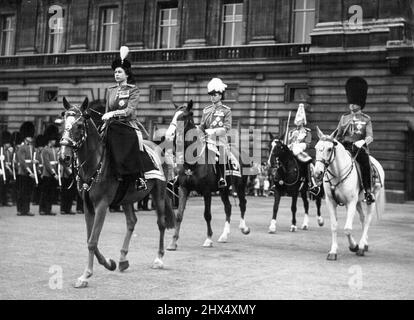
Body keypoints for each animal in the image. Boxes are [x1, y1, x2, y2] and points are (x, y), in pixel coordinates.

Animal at [59, 97, 175, 288]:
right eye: (63, 125)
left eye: (79, 126)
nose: (64, 157)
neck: (96, 162)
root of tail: (156, 146)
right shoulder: (87, 206)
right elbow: (90, 239)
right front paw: (108, 263)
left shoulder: (102, 205)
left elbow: (92, 241)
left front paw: (86, 275)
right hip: (127, 198)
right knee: (131, 222)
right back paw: (122, 259)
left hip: (158, 192)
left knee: (161, 223)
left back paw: (158, 259)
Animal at [164, 100, 249, 250]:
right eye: (173, 116)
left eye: (183, 117)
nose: (169, 135)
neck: (193, 162)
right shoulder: (184, 189)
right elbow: (179, 215)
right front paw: (173, 242)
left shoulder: (206, 191)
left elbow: (207, 215)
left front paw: (208, 239)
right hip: (224, 189)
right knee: (228, 207)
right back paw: (224, 235)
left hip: (240, 185)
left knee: (242, 204)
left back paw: (243, 228)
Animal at [314, 127, 384, 260]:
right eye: (316, 147)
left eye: (329, 149)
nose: (317, 173)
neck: (338, 174)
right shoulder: (331, 202)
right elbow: (334, 226)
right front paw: (333, 251)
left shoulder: (350, 202)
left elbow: (347, 229)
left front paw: (354, 246)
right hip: (357, 202)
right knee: (363, 219)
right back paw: (364, 243)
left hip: (371, 198)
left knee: (367, 220)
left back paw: (361, 246)